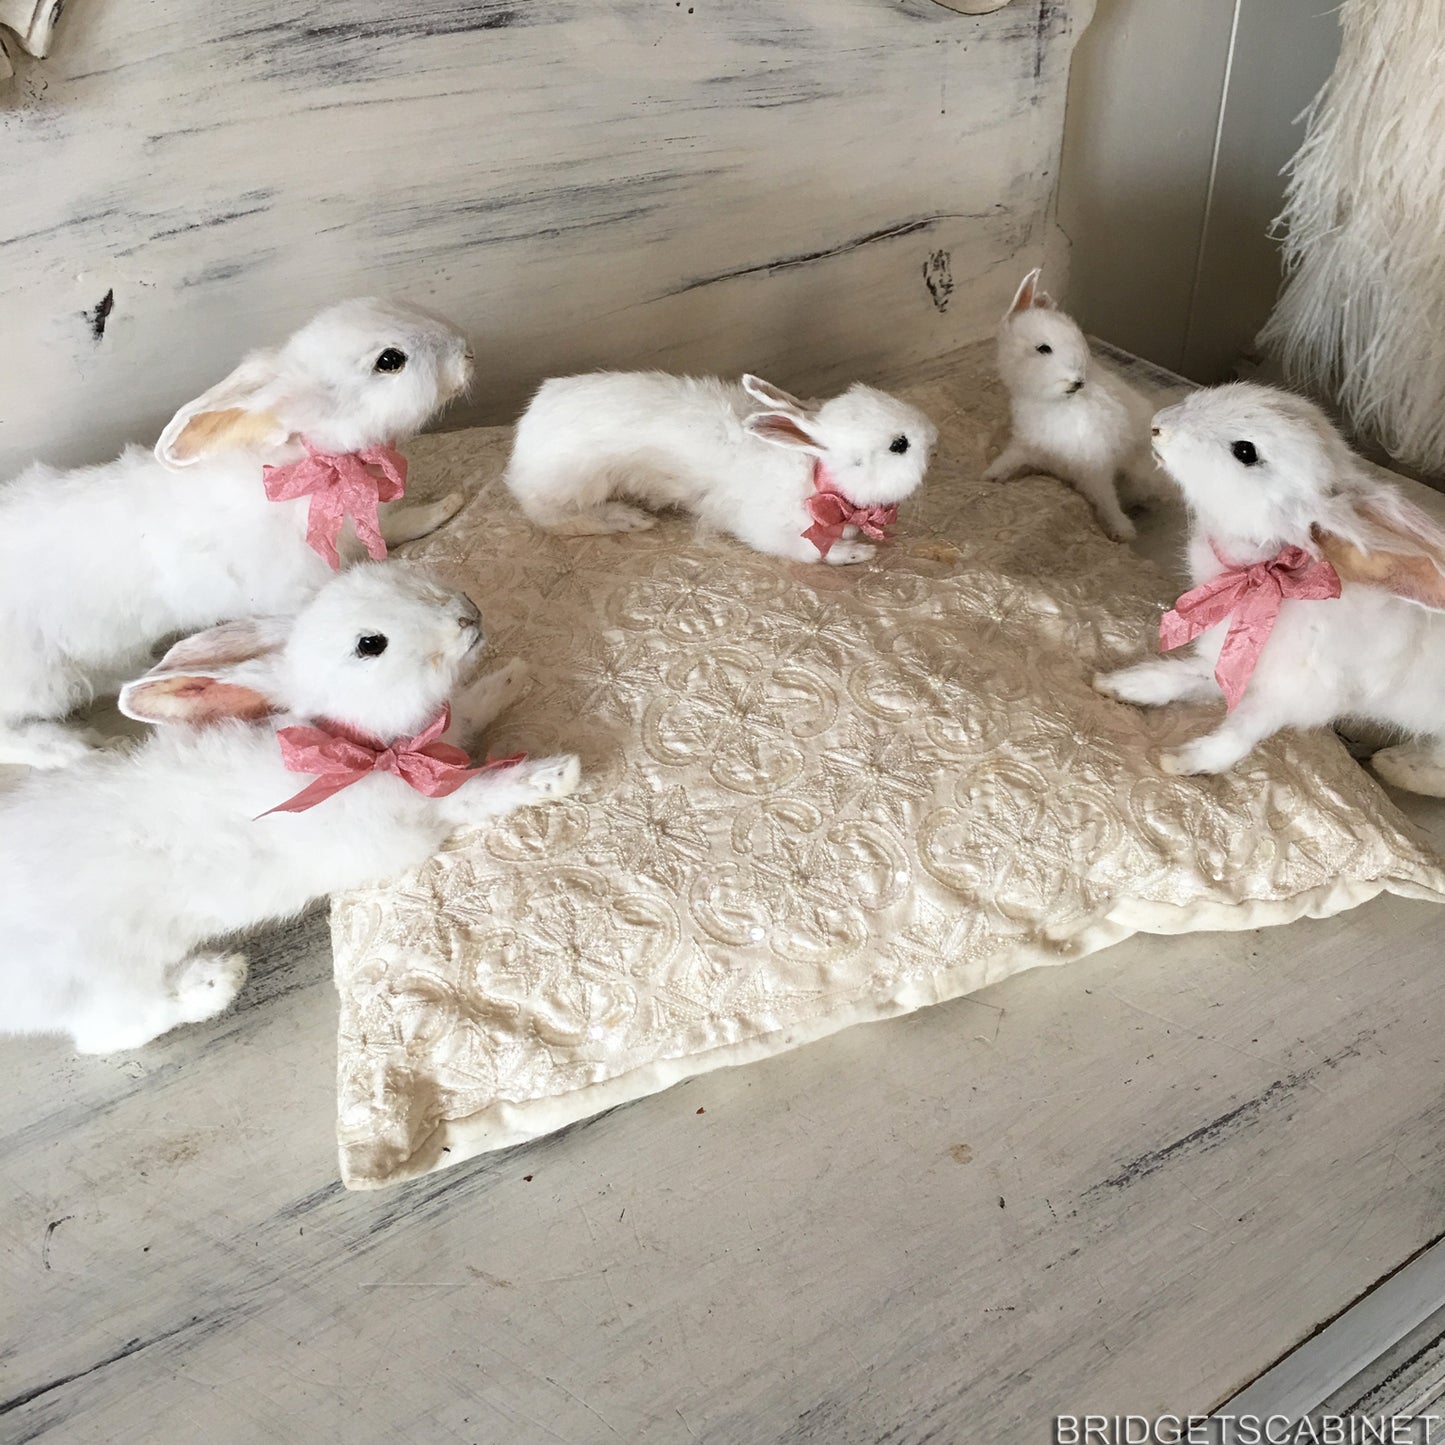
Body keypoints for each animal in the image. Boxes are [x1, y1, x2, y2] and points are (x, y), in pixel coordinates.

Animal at [0, 298, 474, 771]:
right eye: (390, 360)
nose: (466, 352)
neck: (306, 464)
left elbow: (398, 525)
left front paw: (446, 506)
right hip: (40, 687)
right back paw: (92, 747)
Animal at [0, 561, 581, 1055]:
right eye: (370, 644)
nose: (468, 612)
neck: (360, 747)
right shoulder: (425, 812)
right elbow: (483, 792)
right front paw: (556, 775)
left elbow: (469, 711)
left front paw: (512, 677)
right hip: (107, 975)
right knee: (113, 1030)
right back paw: (217, 980)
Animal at [503, 370, 937, 564]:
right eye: (899, 445)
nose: (933, 436)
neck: (818, 476)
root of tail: (526, 436)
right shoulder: (774, 530)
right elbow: (813, 552)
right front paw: (856, 552)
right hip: (574, 488)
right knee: (554, 518)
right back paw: (629, 518)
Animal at [984, 268, 1163, 542]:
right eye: (1043, 348)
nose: (1078, 381)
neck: (1052, 403)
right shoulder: (1028, 447)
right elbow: (1010, 460)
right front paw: (990, 477)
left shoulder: (1095, 468)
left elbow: (1106, 500)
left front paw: (1122, 532)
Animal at [1092, 381, 1445, 789]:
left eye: (1245, 451)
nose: (1158, 425)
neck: (1266, 577)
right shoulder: (1233, 665)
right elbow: (1177, 677)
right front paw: (1117, 685)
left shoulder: (1292, 695)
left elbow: (1239, 735)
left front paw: (1183, 761)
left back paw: (1393, 766)